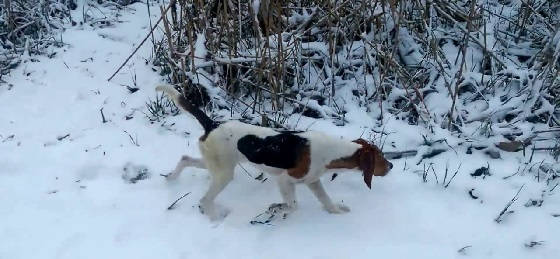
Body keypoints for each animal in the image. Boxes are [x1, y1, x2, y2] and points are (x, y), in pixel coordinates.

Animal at [156, 85, 394, 221]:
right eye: (380, 157)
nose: (391, 166)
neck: (333, 151)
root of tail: (212, 124)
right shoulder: (285, 180)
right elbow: (293, 206)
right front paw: (278, 210)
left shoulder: (313, 182)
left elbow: (326, 200)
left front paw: (335, 211)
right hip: (224, 173)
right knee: (205, 200)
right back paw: (215, 218)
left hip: (215, 163)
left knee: (185, 159)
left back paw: (171, 178)